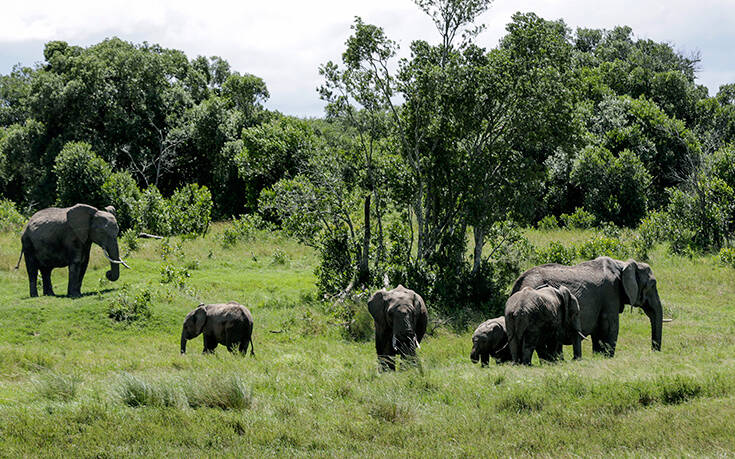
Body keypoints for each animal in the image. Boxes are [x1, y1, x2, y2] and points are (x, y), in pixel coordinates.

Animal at [516, 256, 664, 358]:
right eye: (652, 285)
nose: (653, 352)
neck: (622, 264)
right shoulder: (610, 293)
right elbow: (610, 328)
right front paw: (606, 358)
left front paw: (598, 357)